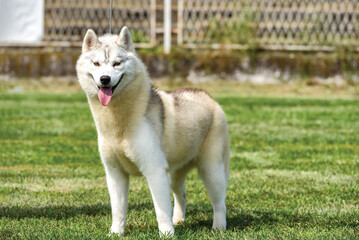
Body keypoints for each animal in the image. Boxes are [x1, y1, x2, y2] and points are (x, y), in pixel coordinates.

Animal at [77, 26, 232, 236]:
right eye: (96, 63)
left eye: (117, 63)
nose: (105, 79)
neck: (119, 124)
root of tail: (207, 96)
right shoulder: (115, 173)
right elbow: (118, 209)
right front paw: (116, 232)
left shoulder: (155, 170)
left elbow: (161, 210)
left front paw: (167, 234)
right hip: (174, 173)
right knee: (181, 194)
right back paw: (179, 220)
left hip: (211, 169)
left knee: (219, 201)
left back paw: (218, 227)